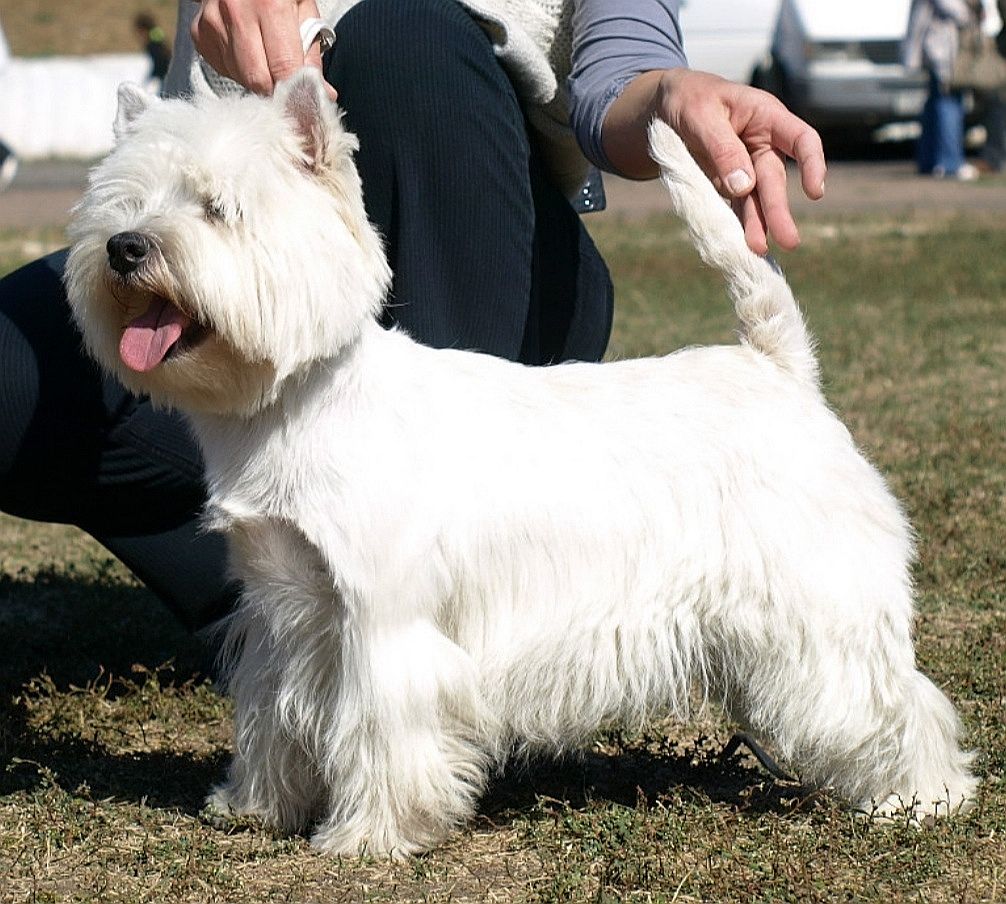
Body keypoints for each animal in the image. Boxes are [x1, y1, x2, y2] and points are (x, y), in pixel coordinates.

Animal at [62, 68, 973, 856]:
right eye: (121, 202)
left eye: (219, 208)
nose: (127, 248)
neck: (291, 404)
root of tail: (780, 369)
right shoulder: (285, 610)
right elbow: (275, 715)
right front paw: (254, 805)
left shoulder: (383, 618)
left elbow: (381, 728)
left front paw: (369, 836)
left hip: (820, 605)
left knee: (895, 700)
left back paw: (922, 797)